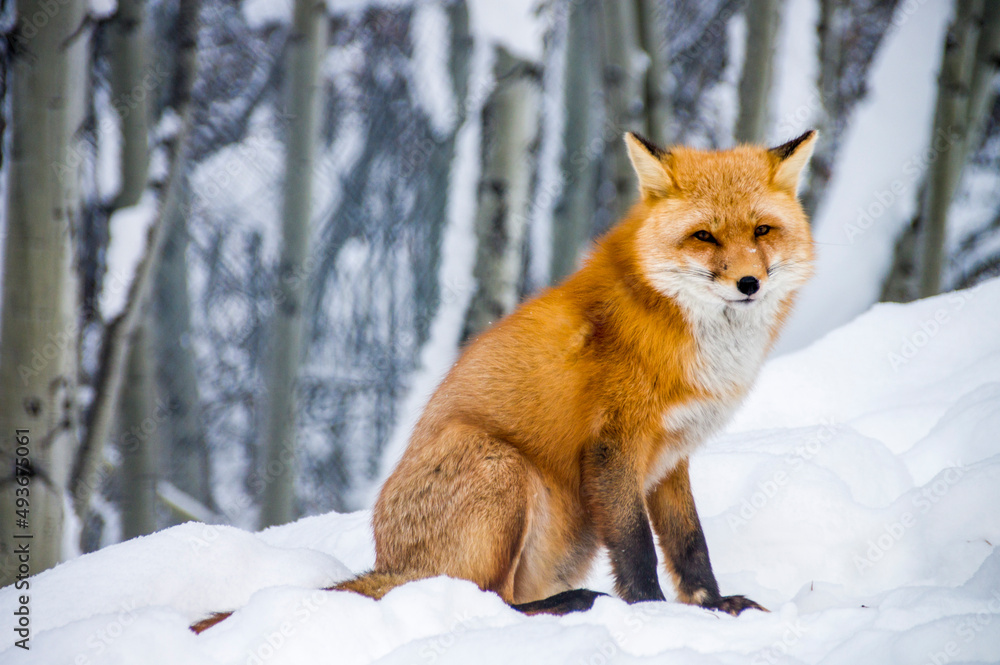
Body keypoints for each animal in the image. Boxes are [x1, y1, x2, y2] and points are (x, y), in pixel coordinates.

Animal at [192, 129, 817, 632]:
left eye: (762, 230)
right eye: (704, 237)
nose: (749, 283)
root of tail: (391, 562)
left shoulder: (671, 456)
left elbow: (690, 544)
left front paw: (713, 606)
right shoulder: (613, 447)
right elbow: (637, 546)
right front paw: (648, 613)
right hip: (503, 469)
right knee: (484, 597)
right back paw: (571, 603)